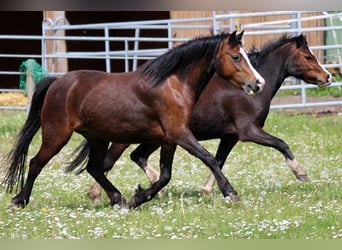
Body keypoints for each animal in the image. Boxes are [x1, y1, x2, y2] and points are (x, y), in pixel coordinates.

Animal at [1, 30, 266, 208]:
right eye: (236, 57)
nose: (258, 83)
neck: (174, 85)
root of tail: (57, 82)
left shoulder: (169, 139)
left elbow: (165, 175)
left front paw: (138, 198)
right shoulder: (179, 134)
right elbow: (209, 158)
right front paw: (230, 192)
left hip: (97, 137)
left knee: (95, 168)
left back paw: (118, 199)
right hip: (57, 135)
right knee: (36, 163)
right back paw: (19, 200)